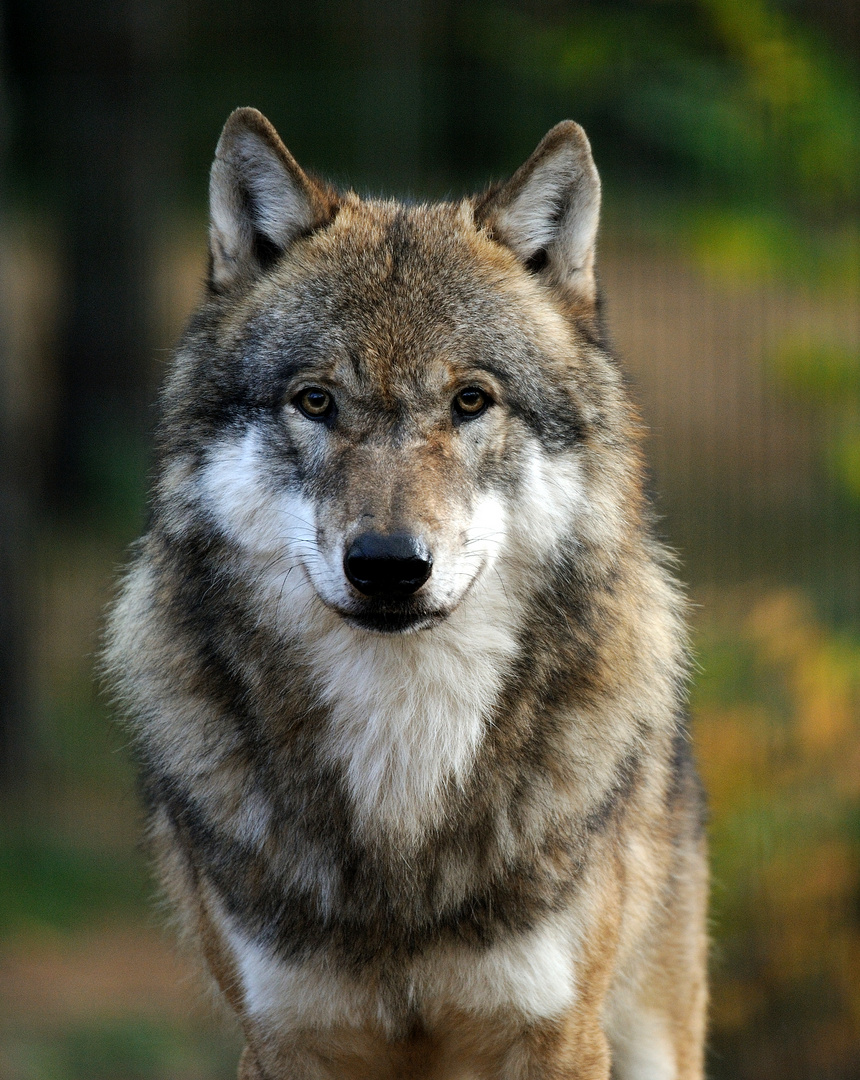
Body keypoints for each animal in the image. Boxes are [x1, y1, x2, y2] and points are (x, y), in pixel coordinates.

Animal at [102, 105, 704, 1075]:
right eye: (315, 402)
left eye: (471, 401)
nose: (387, 565)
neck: (402, 756)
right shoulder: (281, 1037)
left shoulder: (556, 1033)